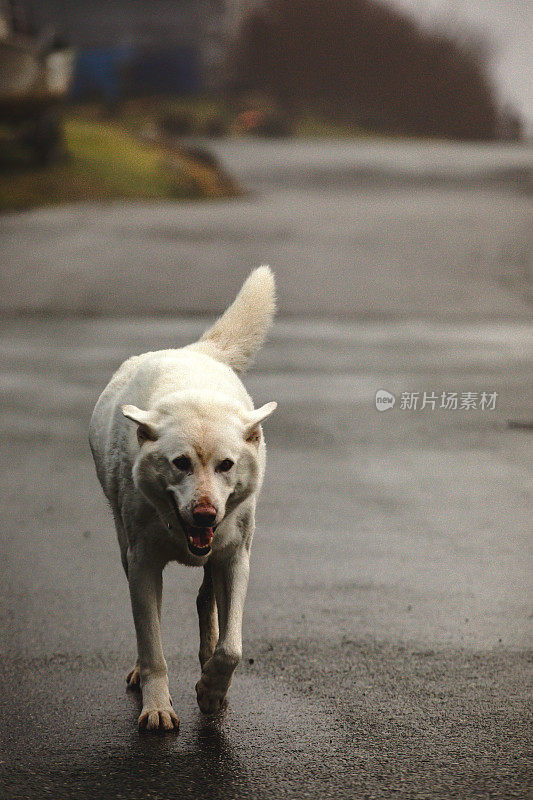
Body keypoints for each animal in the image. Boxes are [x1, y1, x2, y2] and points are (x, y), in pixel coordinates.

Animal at [89, 268, 276, 732]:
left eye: (226, 464)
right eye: (180, 463)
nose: (205, 513)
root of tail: (191, 351)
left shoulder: (236, 559)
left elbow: (232, 648)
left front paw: (211, 691)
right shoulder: (142, 564)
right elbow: (152, 643)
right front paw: (156, 706)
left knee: (206, 601)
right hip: (124, 547)